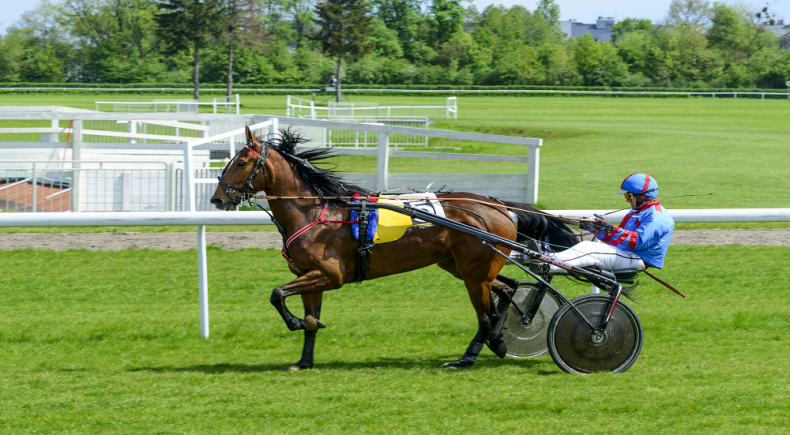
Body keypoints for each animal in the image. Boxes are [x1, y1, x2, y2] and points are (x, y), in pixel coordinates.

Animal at [213, 127, 580, 372]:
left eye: (242, 162)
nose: (217, 199)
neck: (315, 212)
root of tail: (498, 205)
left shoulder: (329, 275)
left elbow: (277, 294)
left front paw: (294, 324)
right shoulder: (312, 276)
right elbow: (311, 317)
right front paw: (303, 360)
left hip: (473, 272)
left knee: (486, 313)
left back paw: (467, 357)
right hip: (461, 266)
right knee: (508, 287)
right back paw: (498, 340)